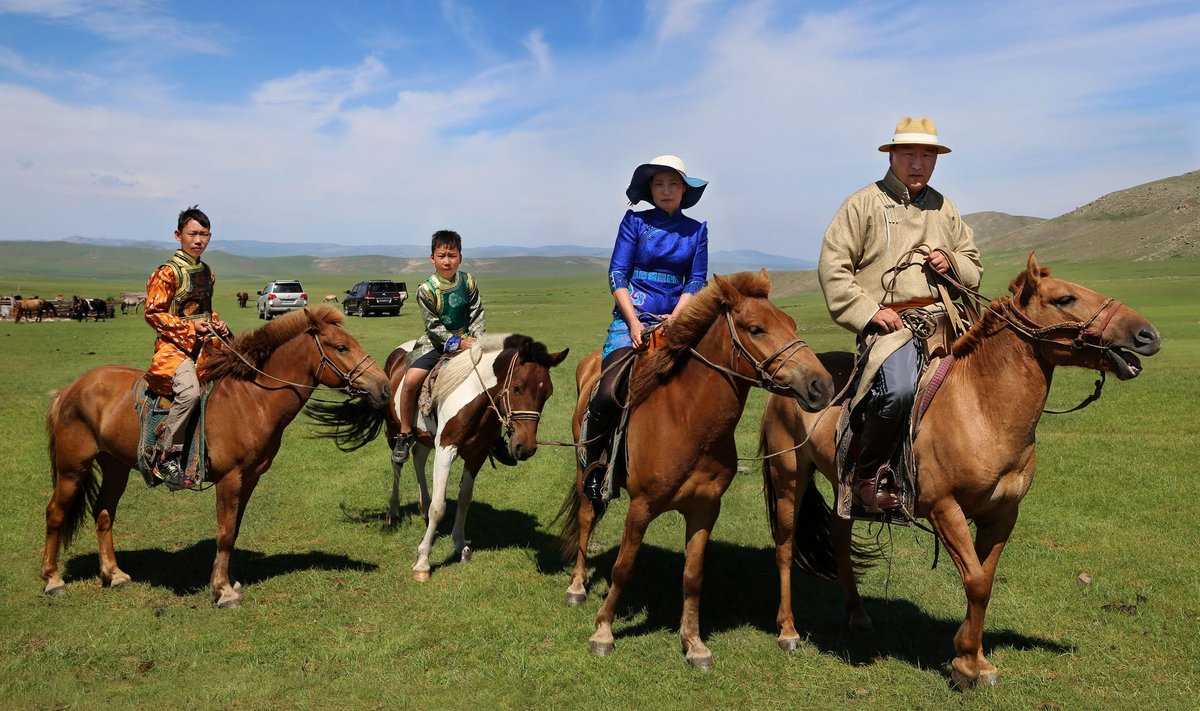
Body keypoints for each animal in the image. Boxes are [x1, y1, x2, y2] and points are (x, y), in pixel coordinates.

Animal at [39, 303, 388, 605]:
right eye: (341, 347)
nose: (384, 387)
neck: (250, 398)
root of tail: (68, 390)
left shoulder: (250, 478)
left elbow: (233, 531)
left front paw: (229, 582)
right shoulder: (230, 479)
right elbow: (224, 532)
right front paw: (222, 591)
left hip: (115, 466)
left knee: (104, 513)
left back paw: (114, 574)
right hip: (72, 467)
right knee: (55, 512)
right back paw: (53, 580)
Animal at [554, 269, 830, 667]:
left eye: (792, 323)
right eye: (756, 328)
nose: (821, 385)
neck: (688, 420)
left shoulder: (705, 508)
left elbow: (693, 576)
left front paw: (694, 642)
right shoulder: (641, 506)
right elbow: (623, 567)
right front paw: (603, 630)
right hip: (585, 469)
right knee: (587, 518)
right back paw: (576, 586)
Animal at [758, 252, 1161, 686]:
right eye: (1065, 299)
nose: (1148, 335)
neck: (982, 408)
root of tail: (795, 381)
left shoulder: (1001, 514)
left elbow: (981, 580)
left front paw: (970, 656)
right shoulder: (944, 509)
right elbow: (977, 581)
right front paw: (968, 666)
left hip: (842, 486)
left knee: (838, 536)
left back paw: (858, 616)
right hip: (789, 477)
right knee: (784, 548)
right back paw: (788, 632)